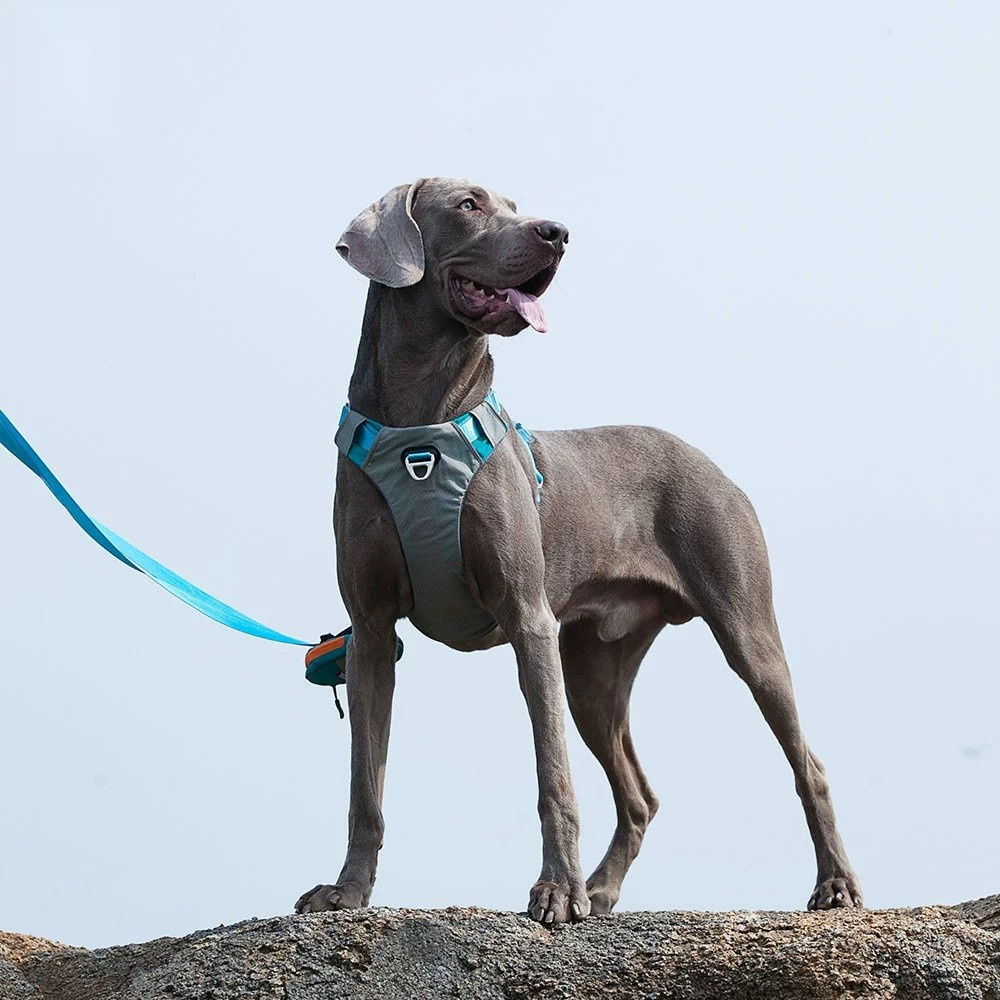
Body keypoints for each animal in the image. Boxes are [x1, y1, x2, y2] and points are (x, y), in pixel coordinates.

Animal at [292, 176, 864, 924]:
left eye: (513, 203)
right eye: (469, 204)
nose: (556, 232)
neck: (421, 424)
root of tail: (713, 465)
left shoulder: (528, 619)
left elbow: (552, 777)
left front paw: (556, 892)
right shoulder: (370, 632)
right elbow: (367, 784)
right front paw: (348, 892)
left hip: (744, 627)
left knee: (808, 764)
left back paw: (836, 886)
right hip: (593, 664)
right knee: (640, 796)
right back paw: (603, 890)